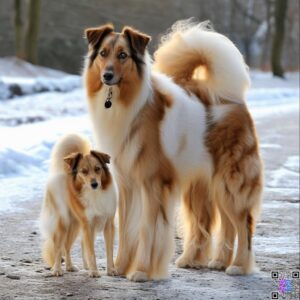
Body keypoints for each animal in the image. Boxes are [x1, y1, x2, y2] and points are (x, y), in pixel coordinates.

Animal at [40, 133, 117, 276]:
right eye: (84, 171)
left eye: (98, 169)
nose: (94, 184)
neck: (94, 194)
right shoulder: (88, 226)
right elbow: (91, 252)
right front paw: (94, 271)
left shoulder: (108, 224)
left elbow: (109, 250)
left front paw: (111, 270)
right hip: (63, 223)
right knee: (58, 247)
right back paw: (57, 269)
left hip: (75, 225)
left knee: (67, 246)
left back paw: (70, 266)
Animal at [84, 20, 262, 282]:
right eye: (103, 53)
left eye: (123, 55)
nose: (106, 75)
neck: (127, 102)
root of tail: (231, 97)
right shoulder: (127, 184)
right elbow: (125, 231)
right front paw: (119, 268)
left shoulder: (152, 184)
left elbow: (148, 230)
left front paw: (142, 271)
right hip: (208, 184)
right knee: (224, 223)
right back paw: (215, 261)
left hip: (231, 182)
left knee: (243, 223)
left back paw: (238, 265)